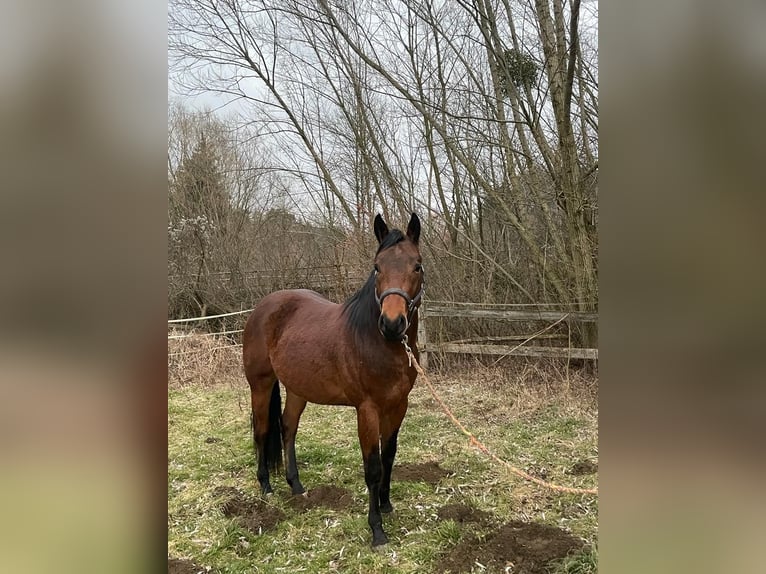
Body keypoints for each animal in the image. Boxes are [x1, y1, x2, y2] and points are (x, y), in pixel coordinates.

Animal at [242, 212, 424, 547]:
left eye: (416, 265)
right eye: (377, 266)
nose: (392, 324)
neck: (377, 341)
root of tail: (263, 306)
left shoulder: (398, 405)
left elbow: (389, 456)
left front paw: (387, 504)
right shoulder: (367, 410)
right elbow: (373, 467)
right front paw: (377, 529)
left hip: (297, 389)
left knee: (287, 428)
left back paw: (296, 486)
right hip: (260, 384)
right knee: (262, 431)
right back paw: (266, 487)